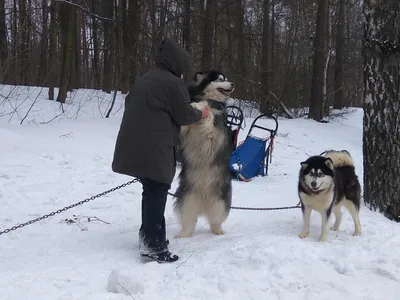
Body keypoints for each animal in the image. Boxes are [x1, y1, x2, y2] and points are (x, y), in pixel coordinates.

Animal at [173, 69, 236, 237]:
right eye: (221, 79)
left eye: (226, 78)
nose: (233, 83)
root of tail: (203, 202)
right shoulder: (184, 131)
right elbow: (184, 124)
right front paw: (196, 105)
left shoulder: (215, 137)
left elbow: (210, 122)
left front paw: (201, 107)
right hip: (187, 199)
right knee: (189, 221)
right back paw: (183, 235)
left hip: (221, 201)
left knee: (215, 221)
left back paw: (218, 231)